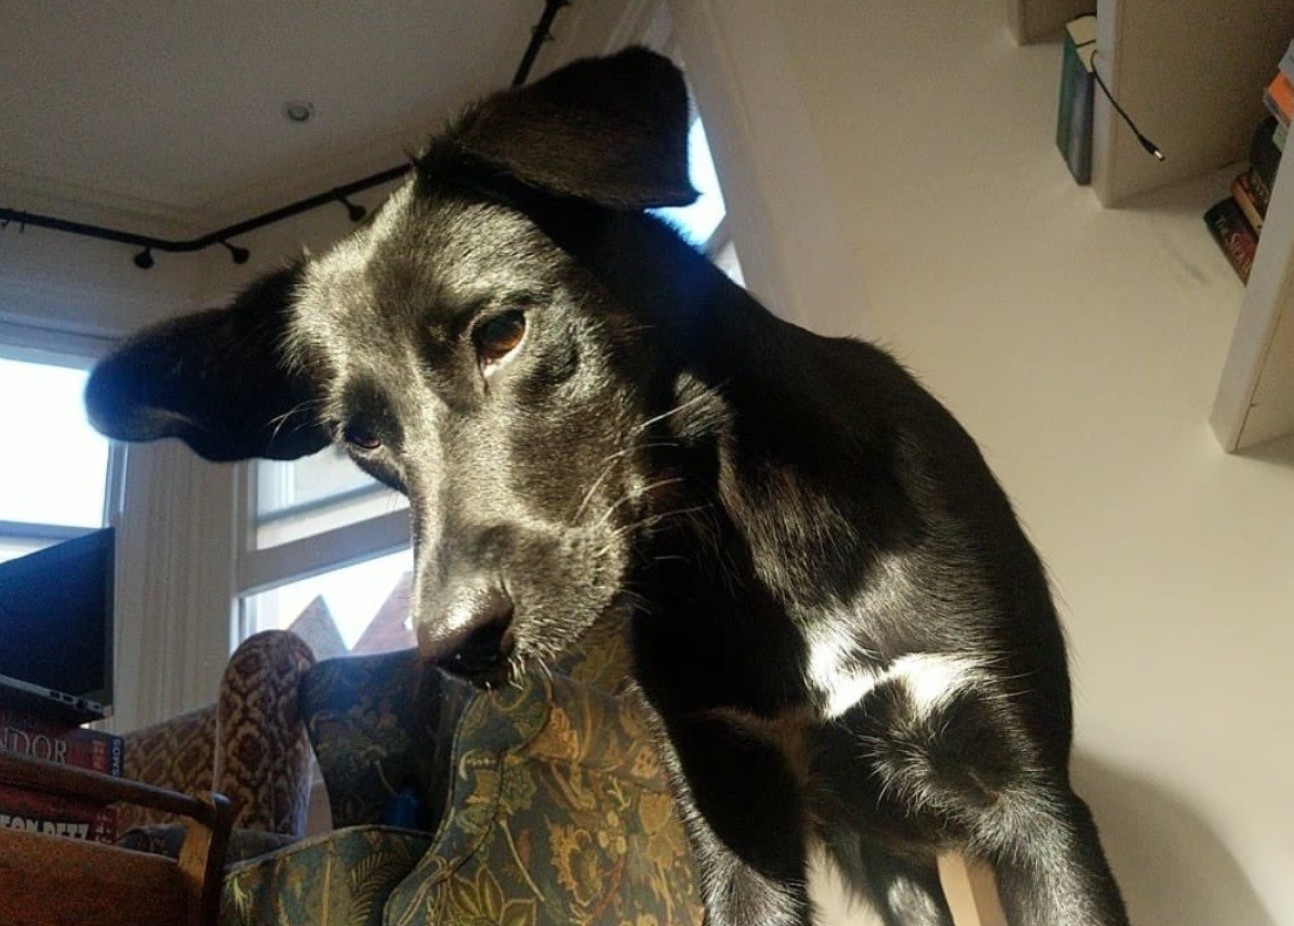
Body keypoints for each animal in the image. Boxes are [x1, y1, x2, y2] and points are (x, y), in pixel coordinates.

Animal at [86, 48, 1128, 926]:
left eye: (502, 331)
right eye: (361, 436)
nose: (454, 648)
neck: (738, 542)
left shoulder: (1035, 805)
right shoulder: (736, 815)